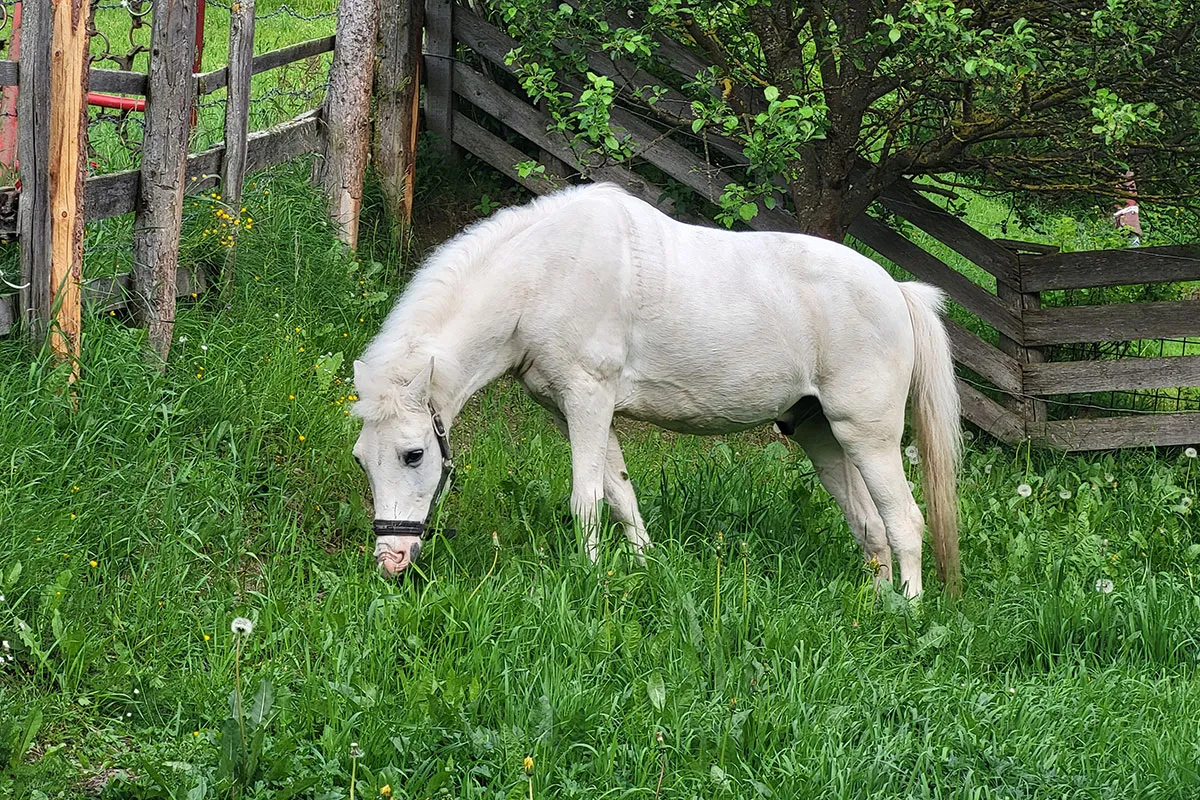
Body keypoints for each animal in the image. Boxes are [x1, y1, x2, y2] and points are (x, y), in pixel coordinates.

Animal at [351, 183, 962, 598]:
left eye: (413, 454)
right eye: (361, 460)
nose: (391, 560)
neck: (543, 276)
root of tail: (897, 290)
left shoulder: (589, 399)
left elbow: (587, 499)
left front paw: (591, 576)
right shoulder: (572, 409)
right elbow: (620, 493)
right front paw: (645, 566)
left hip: (869, 437)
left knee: (905, 522)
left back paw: (907, 613)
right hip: (822, 434)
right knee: (870, 527)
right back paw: (874, 604)